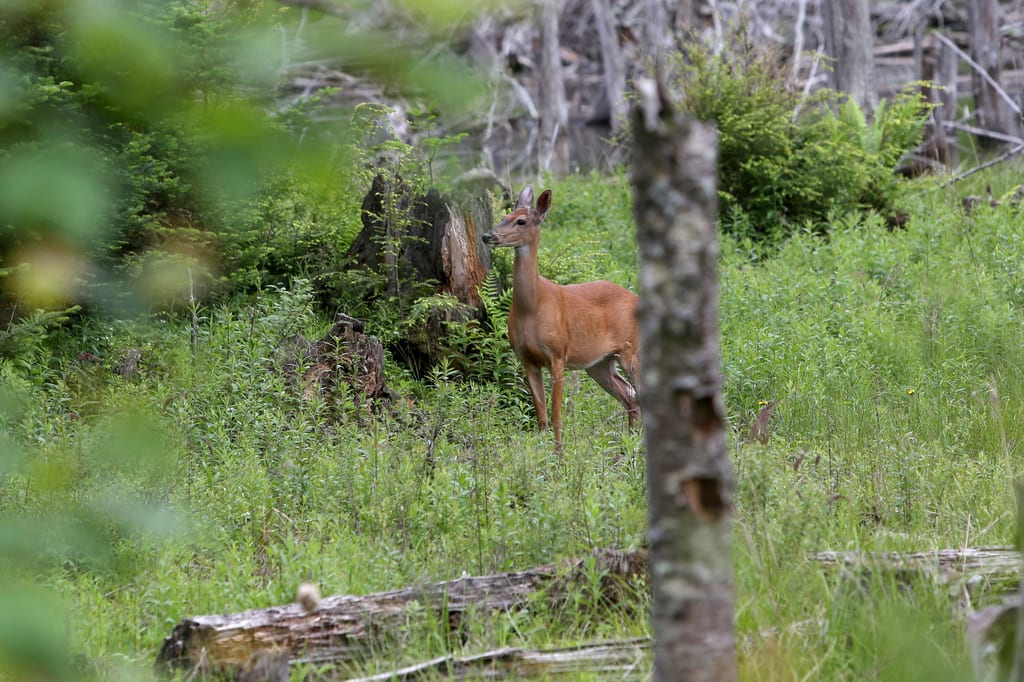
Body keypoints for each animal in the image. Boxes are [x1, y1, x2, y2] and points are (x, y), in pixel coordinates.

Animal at [482, 185, 640, 453]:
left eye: (521, 221)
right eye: (505, 216)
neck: (532, 309)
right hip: (599, 363)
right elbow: (541, 416)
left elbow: (556, 414)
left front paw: (559, 456)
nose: (487, 235)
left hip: (631, 350)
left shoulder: (558, 354)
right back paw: (628, 447)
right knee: (630, 396)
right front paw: (542, 456)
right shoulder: (526, 359)